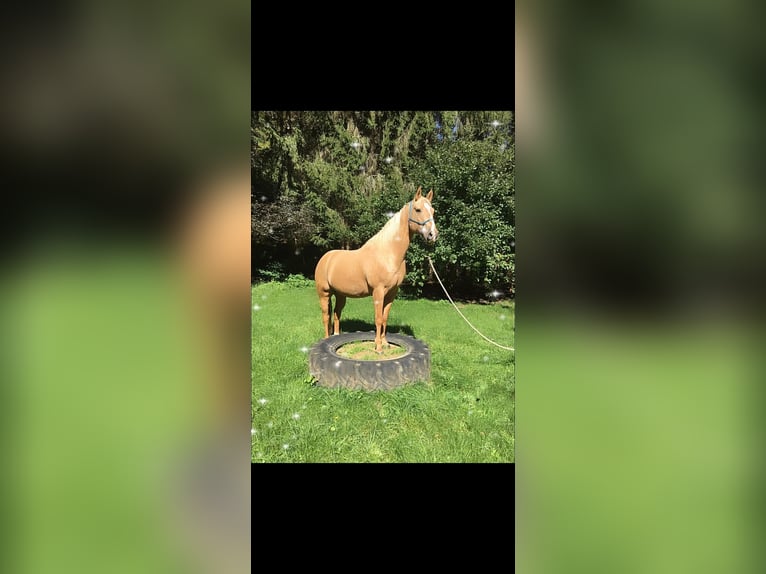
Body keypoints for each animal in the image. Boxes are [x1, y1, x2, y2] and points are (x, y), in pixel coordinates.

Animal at [314, 186, 439, 353]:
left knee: (336, 313)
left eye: (432, 210)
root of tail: (326, 257)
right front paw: (378, 347)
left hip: (340, 295)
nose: (433, 235)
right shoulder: (378, 292)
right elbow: (378, 319)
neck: (388, 253)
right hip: (324, 293)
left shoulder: (392, 293)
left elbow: (385, 317)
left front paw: (385, 343)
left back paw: (336, 337)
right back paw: (327, 339)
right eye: (418, 210)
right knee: (326, 315)